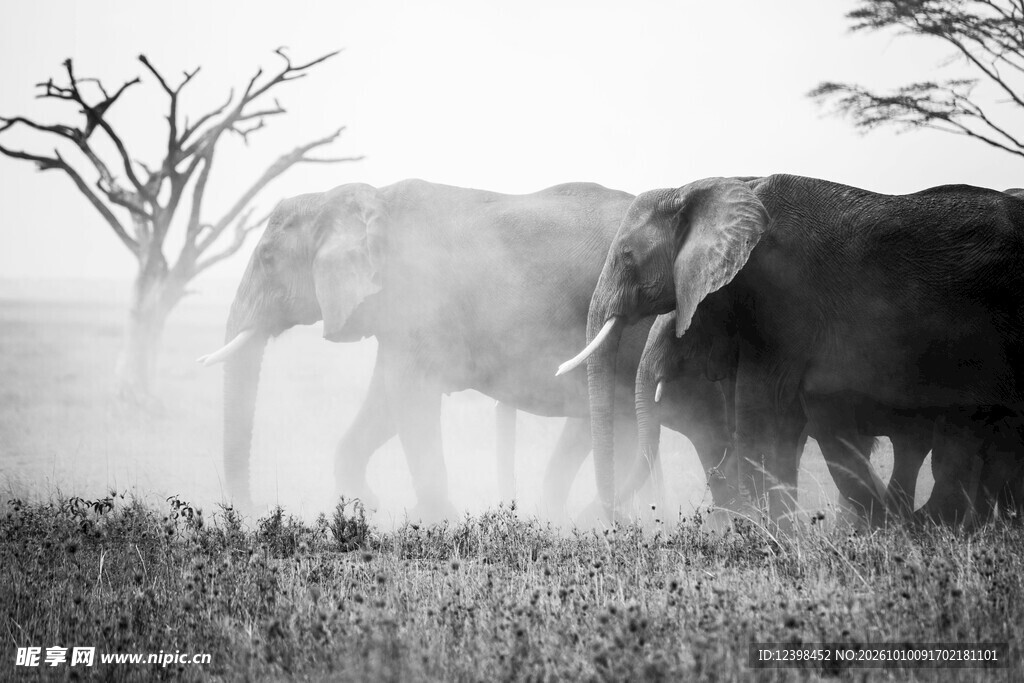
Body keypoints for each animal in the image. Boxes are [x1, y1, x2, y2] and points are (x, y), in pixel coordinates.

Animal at [199, 180, 730, 520]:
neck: (353, 198)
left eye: (268, 258)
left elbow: (408, 399)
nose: (254, 512)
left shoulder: (417, 298)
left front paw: (436, 521)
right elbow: (386, 404)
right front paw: (372, 506)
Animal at [559, 174, 1024, 524]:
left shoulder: (780, 297)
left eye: (626, 255)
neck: (705, 188)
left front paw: (764, 535)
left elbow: (759, 412)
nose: (619, 522)